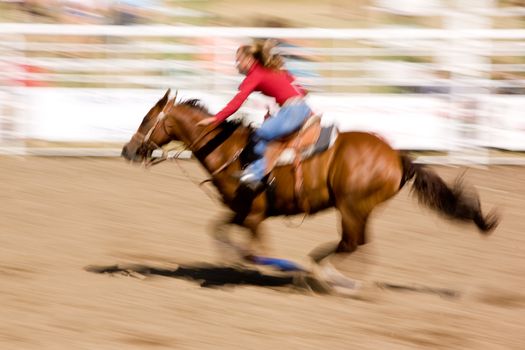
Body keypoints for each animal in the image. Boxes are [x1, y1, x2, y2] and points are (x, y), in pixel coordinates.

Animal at [121, 89, 498, 290]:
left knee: (351, 243)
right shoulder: (238, 212)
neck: (233, 152)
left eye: (147, 119)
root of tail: (397, 157)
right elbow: (217, 231)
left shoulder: (254, 215)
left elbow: (253, 251)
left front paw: (274, 267)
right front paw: (227, 262)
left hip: (352, 207)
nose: (128, 150)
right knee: (358, 244)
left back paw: (321, 274)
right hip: (359, 210)